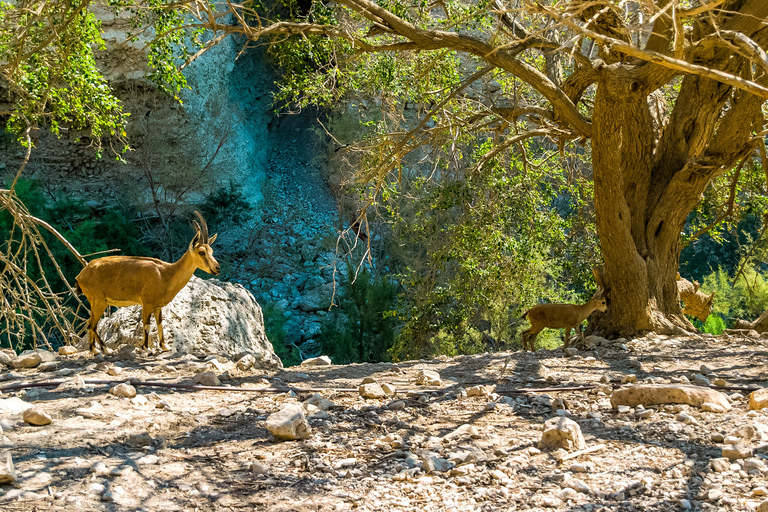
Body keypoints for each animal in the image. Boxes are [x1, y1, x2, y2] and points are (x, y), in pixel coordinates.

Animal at [76, 211, 219, 352]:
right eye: (201, 252)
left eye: (211, 251)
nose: (217, 268)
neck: (165, 274)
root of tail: (81, 275)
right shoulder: (147, 303)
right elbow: (147, 325)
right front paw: (146, 348)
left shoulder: (157, 306)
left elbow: (160, 324)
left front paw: (165, 346)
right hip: (98, 301)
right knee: (92, 325)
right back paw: (102, 349)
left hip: (97, 302)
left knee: (91, 324)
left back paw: (98, 349)